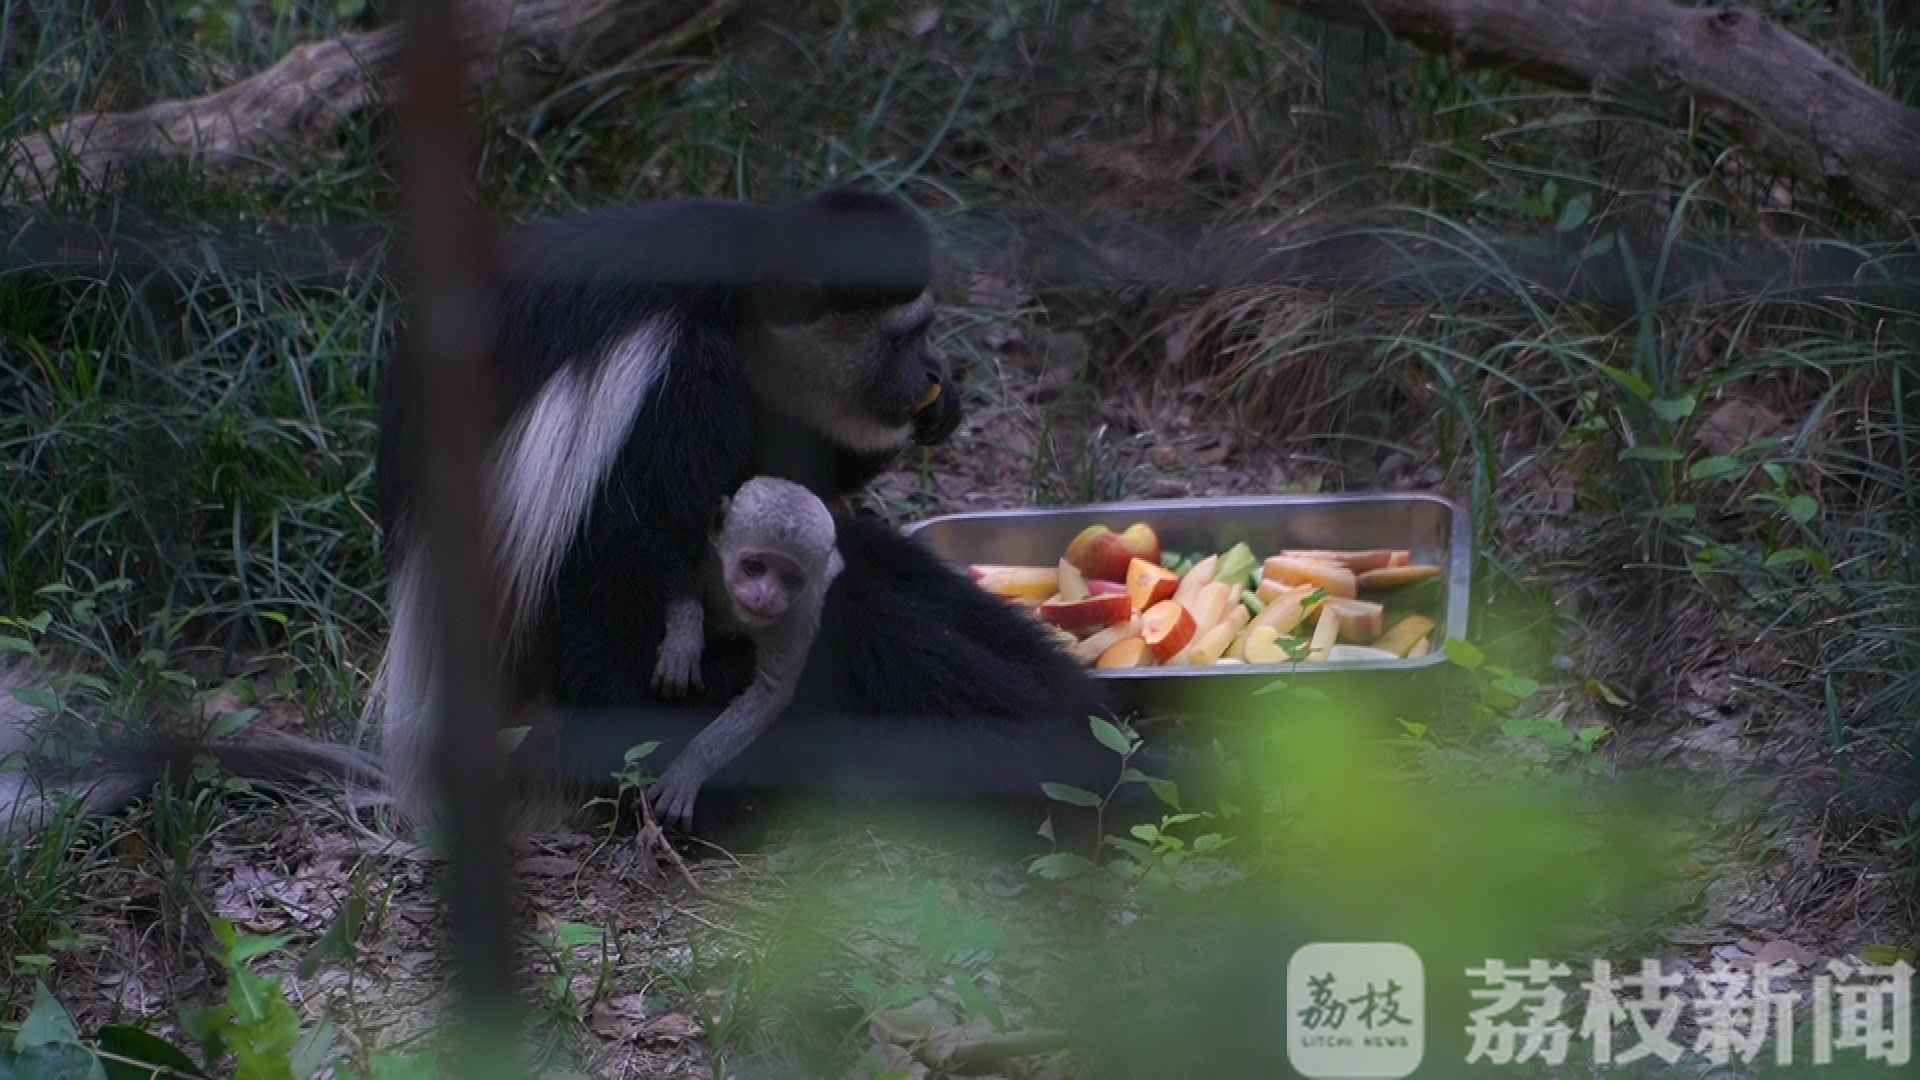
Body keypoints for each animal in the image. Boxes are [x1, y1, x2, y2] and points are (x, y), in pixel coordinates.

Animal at [648, 470, 844, 822]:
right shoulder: (709, 559)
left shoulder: (798, 615)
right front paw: (682, 642)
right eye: (754, 567)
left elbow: (769, 693)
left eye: (789, 579)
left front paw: (689, 767)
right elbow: (681, 575)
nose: (764, 597)